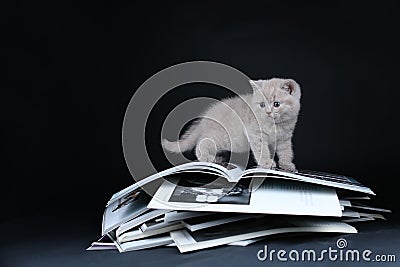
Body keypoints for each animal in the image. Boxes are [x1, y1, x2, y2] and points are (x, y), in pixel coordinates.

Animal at [161, 77, 302, 172]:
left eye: (276, 104)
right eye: (262, 105)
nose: (267, 112)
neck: (276, 125)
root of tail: (205, 118)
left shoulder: (285, 137)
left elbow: (286, 151)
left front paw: (286, 165)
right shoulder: (255, 133)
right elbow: (262, 149)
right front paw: (266, 163)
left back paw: (216, 158)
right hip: (221, 137)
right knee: (201, 143)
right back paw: (207, 157)